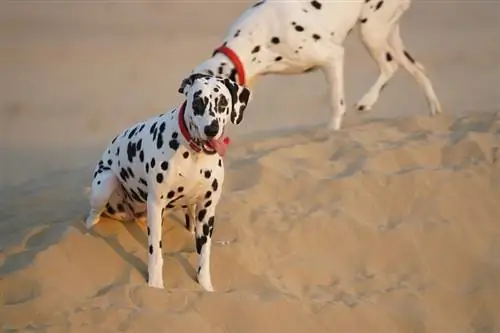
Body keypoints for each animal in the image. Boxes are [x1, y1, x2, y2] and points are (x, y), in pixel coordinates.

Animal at [86, 74, 252, 290]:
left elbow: (204, 255)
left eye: (223, 103)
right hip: (105, 183)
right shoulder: (156, 205)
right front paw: (155, 286)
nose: (211, 129)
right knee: (93, 214)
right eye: (197, 103)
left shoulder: (207, 210)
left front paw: (205, 286)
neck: (194, 155)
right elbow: (155, 252)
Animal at [183, 0, 442, 131]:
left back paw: (367, 101)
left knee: (390, 66)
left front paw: (332, 135)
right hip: (388, 34)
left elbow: (336, 105)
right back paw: (434, 108)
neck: (256, 37)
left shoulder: (333, 57)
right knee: (418, 69)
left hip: (371, 31)